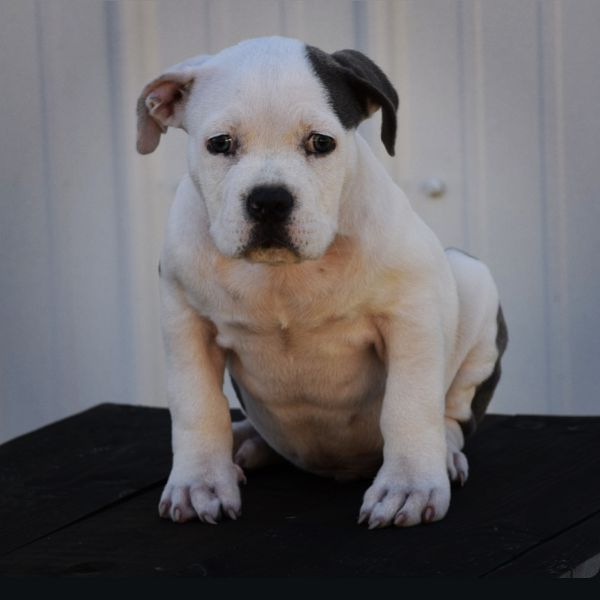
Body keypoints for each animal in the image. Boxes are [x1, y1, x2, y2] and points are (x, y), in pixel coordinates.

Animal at [135, 36, 506, 528]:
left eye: (321, 142)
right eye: (220, 143)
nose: (269, 199)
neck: (284, 275)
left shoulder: (411, 314)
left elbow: (409, 405)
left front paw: (408, 485)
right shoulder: (186, 324)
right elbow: (196, 407)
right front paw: (200, 482)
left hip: (472, 281)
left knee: (452, 413)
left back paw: (442, 454)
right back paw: (246, 441)